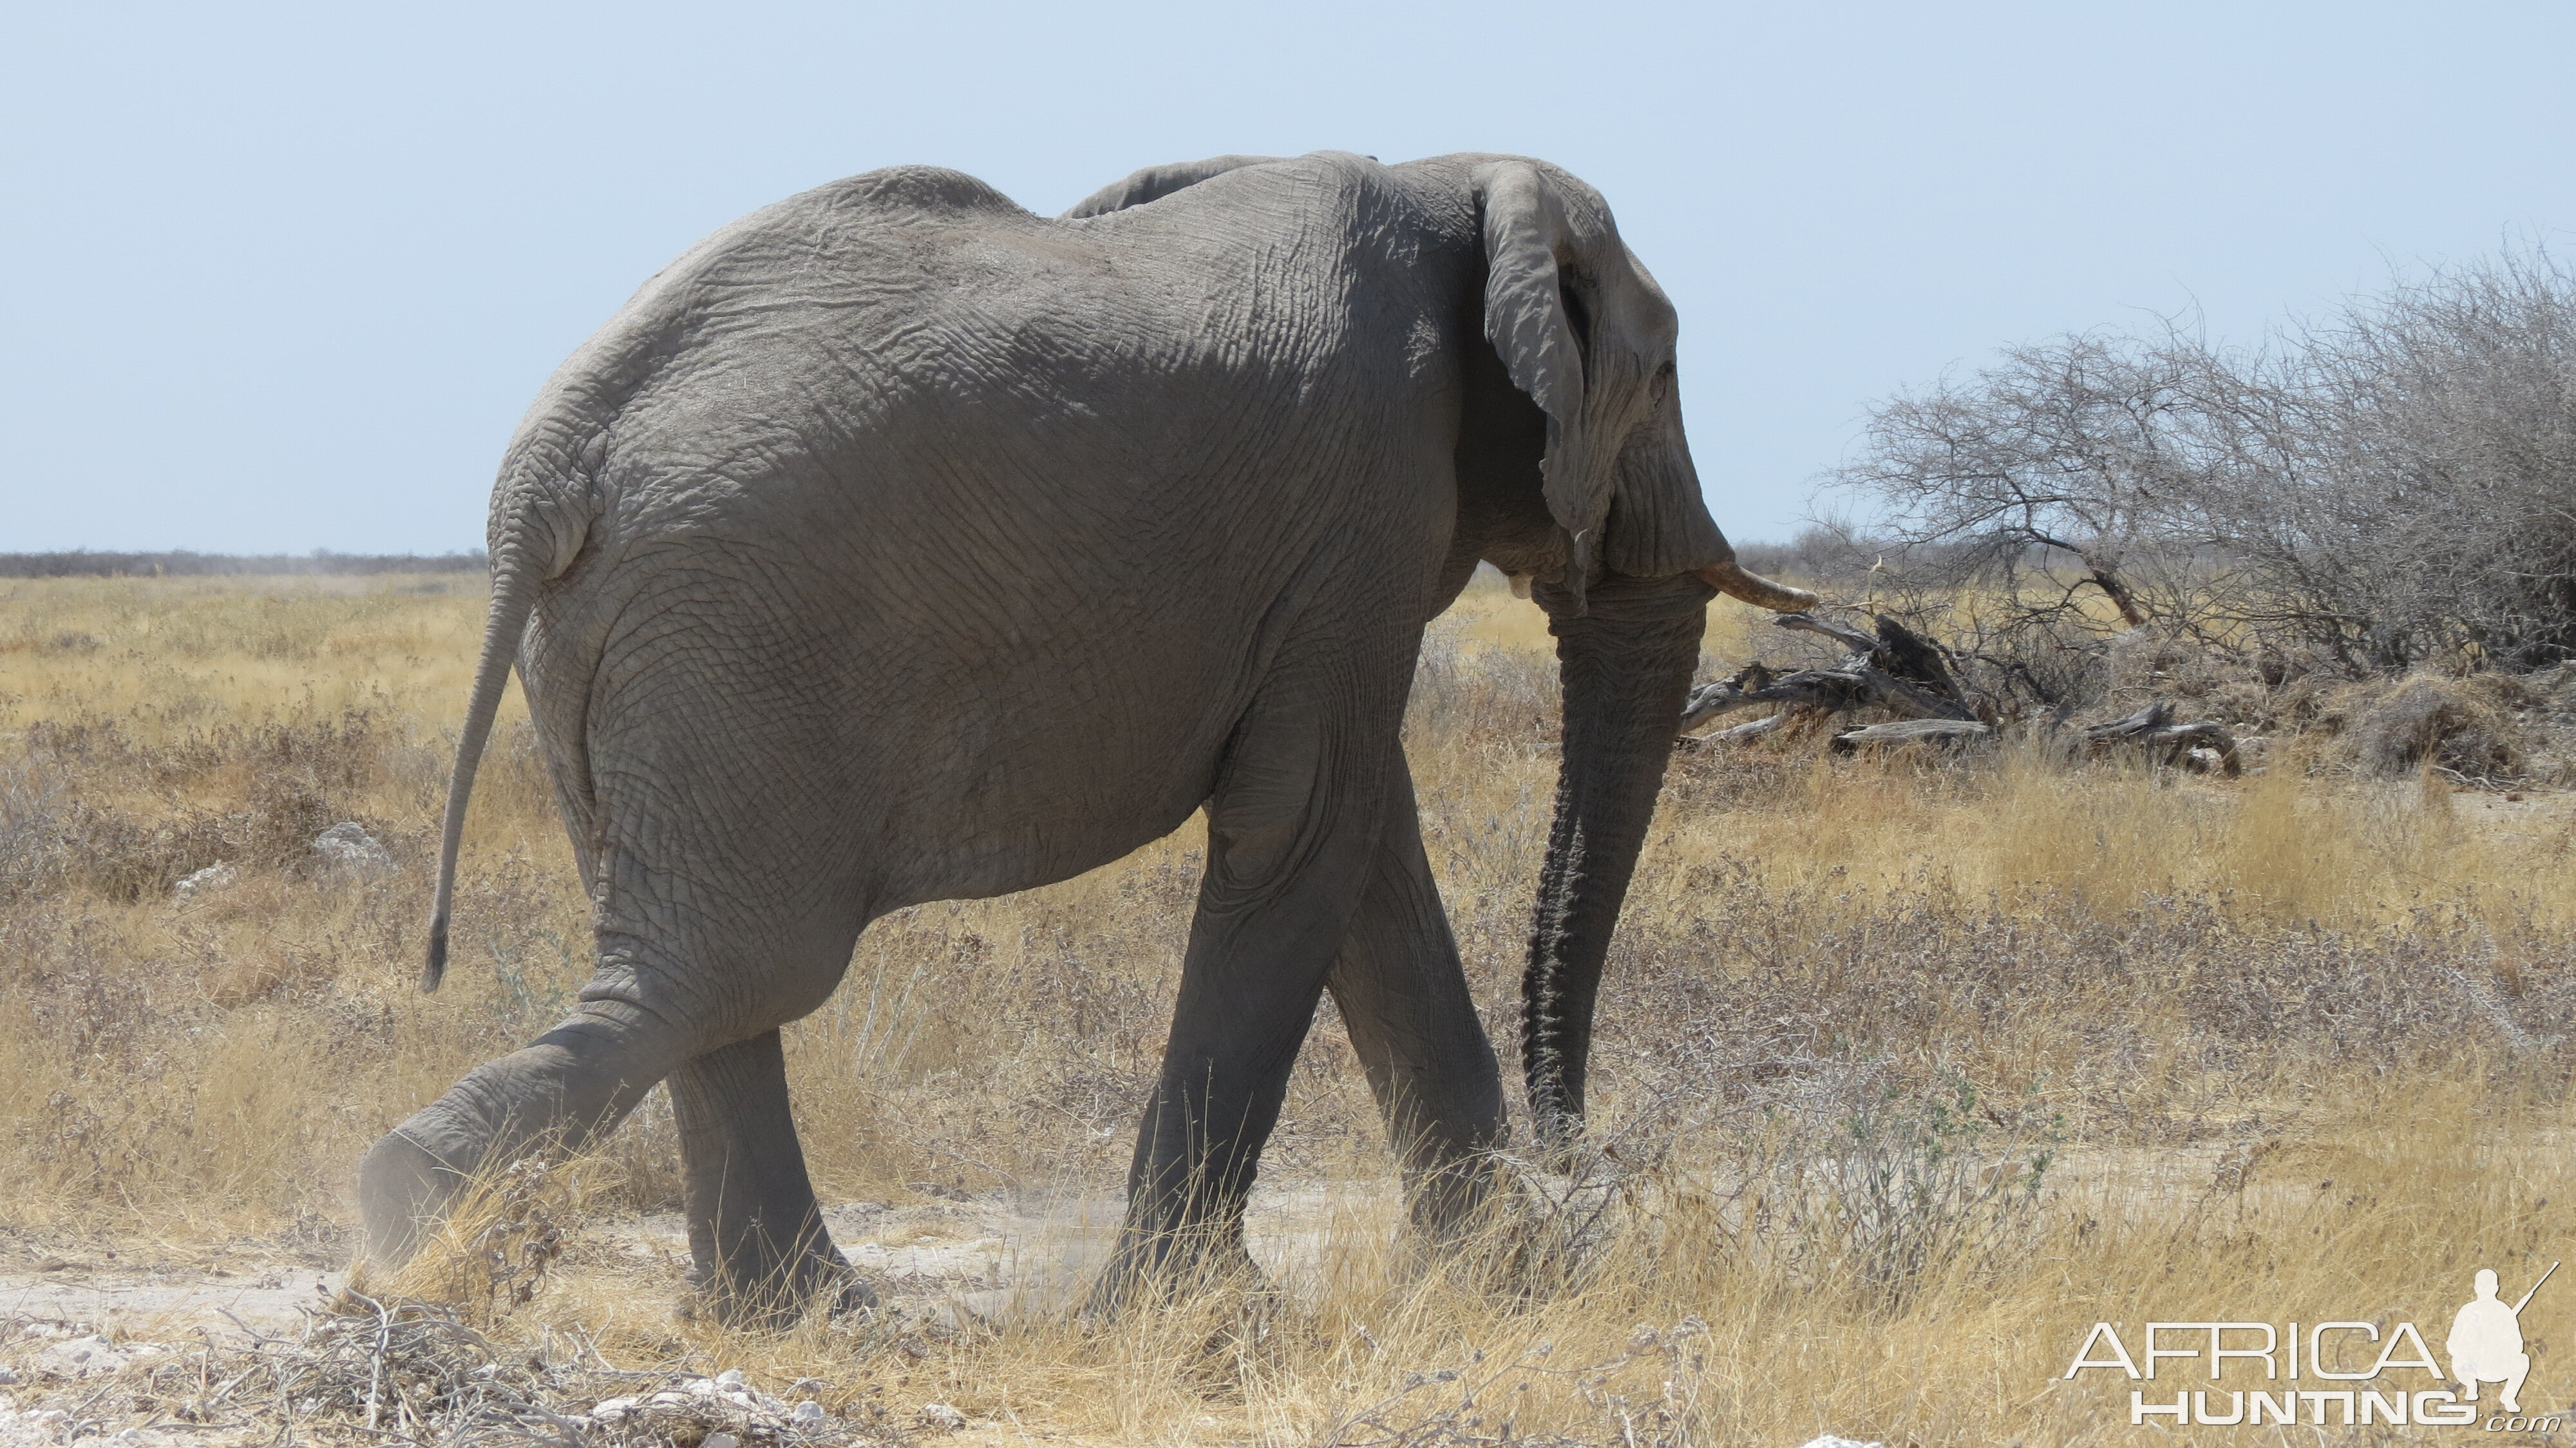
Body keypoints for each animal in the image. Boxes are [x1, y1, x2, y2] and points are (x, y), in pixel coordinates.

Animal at [358, 149, 1814, 1319]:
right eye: (1662, 375)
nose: (1579, 1152)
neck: (1450, 176)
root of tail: (555, 455)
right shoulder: (1370, 496)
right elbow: (1307, 822)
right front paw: (1191, 1311)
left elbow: (1364, 842)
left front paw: (1515, 1277)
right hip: (729, 630)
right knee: (742, 961)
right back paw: (411, 1206)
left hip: (628, 646)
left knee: (699, 965)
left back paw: (800, 1314)